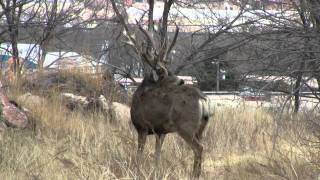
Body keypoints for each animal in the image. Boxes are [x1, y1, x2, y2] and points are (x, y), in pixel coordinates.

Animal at [109, 0, 212, 177]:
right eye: (166, 72)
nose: (181, 80)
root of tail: (202, 99)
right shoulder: (161, 131)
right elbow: (157, 154)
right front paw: (155, 171)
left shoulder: (142, 127)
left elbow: (140, 152)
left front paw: (136, 170)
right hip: (201, 128)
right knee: (200, 147)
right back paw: (197, 173)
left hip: (186, 126)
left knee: (199, 148)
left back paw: (194, 175)